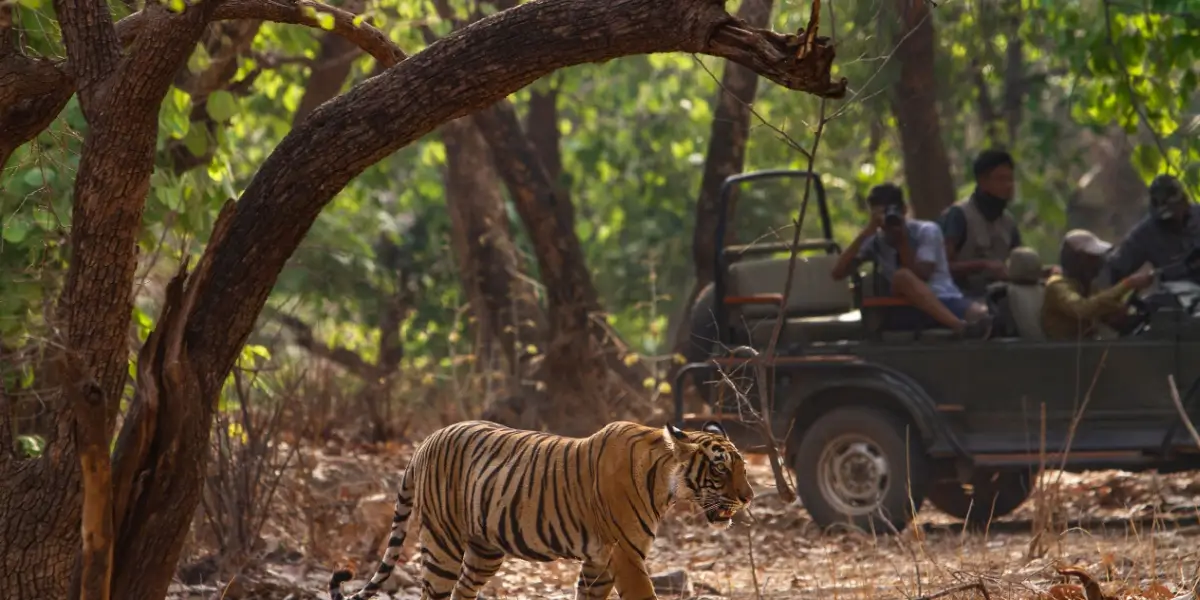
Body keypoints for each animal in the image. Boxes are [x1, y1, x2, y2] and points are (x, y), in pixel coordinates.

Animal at [329, 419, 755, 600]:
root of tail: (425, 442)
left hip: (484, 550)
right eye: (720, 468)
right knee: (433, 593)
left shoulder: (599, 562)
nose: (749, 497)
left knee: (462, 591)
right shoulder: (626, 556)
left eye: (744, 467)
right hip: (442, 543)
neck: (665, 482)